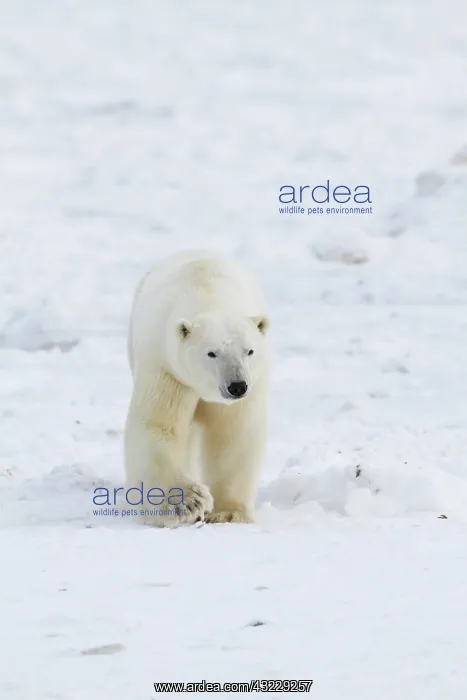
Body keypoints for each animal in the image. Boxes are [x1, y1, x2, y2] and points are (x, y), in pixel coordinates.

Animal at [124, 249, 270, 527]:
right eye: (212, 353)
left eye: (249, 351)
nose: (237, 386)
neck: (208, 293)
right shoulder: (168, 369)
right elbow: (159, 426)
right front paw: (187, 502)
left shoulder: (250, 388)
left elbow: (233, 433)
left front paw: (228, 513)